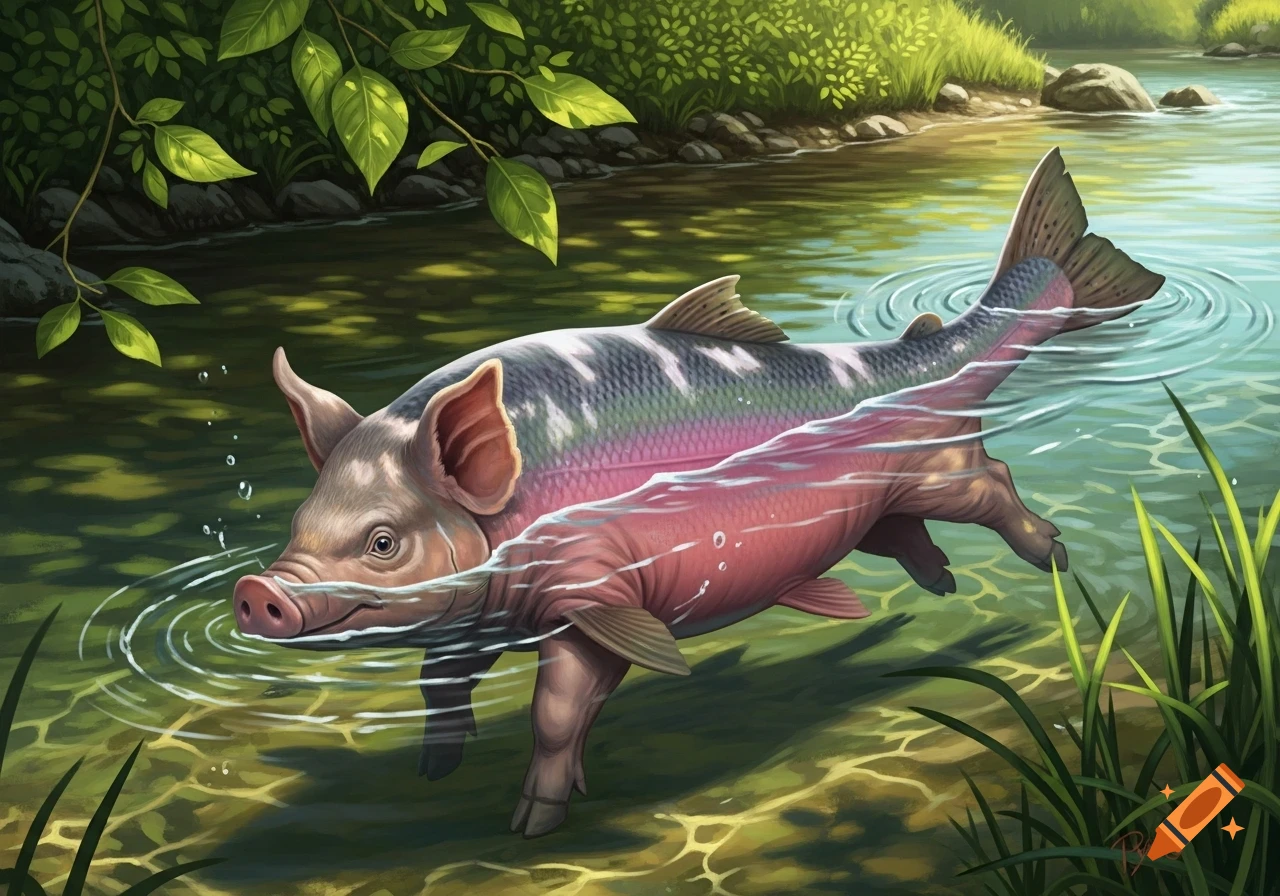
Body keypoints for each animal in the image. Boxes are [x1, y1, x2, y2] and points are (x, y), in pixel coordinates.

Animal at [232, 148, 1164, 837]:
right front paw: (438, 772)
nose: (257, 592)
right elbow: (443, 687)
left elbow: (558, 710)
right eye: (299, 520)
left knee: (995, 484)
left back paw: (1052, 559)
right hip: (884, 500)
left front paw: (532, 825)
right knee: (903, 536)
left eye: (383, 540)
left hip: (941, 466)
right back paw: (939, 586)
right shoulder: (484, 614)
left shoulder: (594, 590)